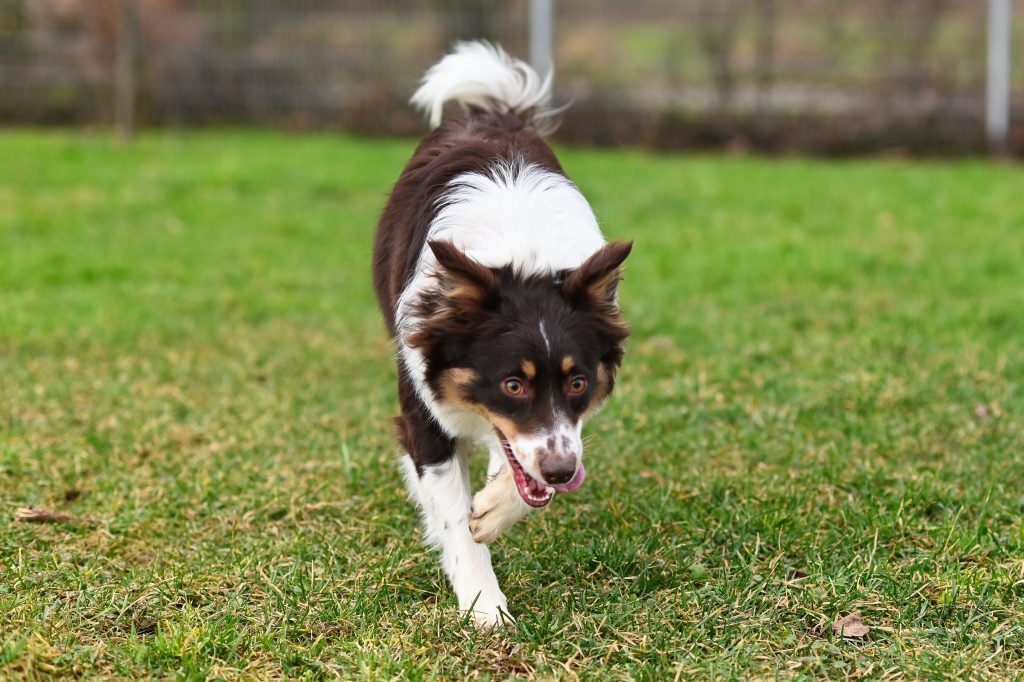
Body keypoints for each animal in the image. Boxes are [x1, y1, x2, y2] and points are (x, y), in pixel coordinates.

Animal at [372, 41, 632, 626]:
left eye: (578, 382)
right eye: (513, 385)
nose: (562, 474)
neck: (524, 259)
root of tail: (495, 113)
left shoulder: (562, 431)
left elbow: (524, 461)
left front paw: (492, 510)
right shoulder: (422, 404)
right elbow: (453, 516)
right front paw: (483, 607)